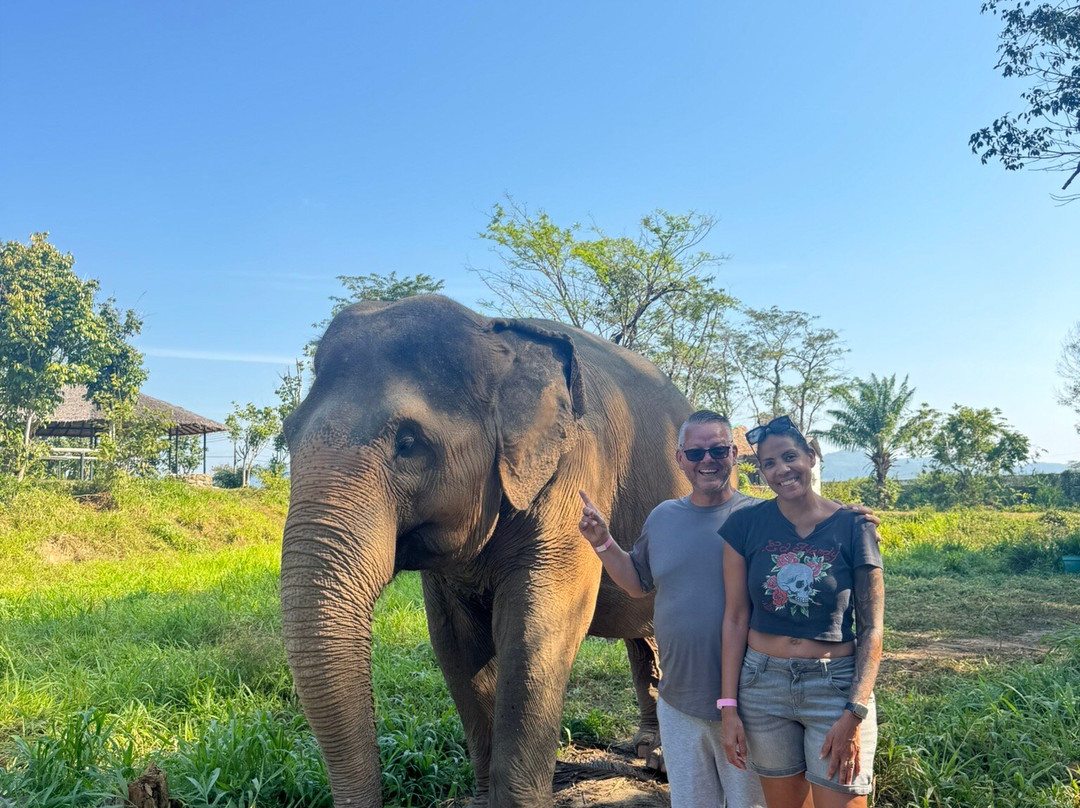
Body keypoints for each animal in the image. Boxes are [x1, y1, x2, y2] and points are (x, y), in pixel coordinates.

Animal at [280, 294, 693, 807]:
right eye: (288, 434)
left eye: (408, 443)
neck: (493, 335)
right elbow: (457, 645)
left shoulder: (576, 474)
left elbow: (534, 634)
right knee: (644, 637)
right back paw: (648, 748)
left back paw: (664, 764)